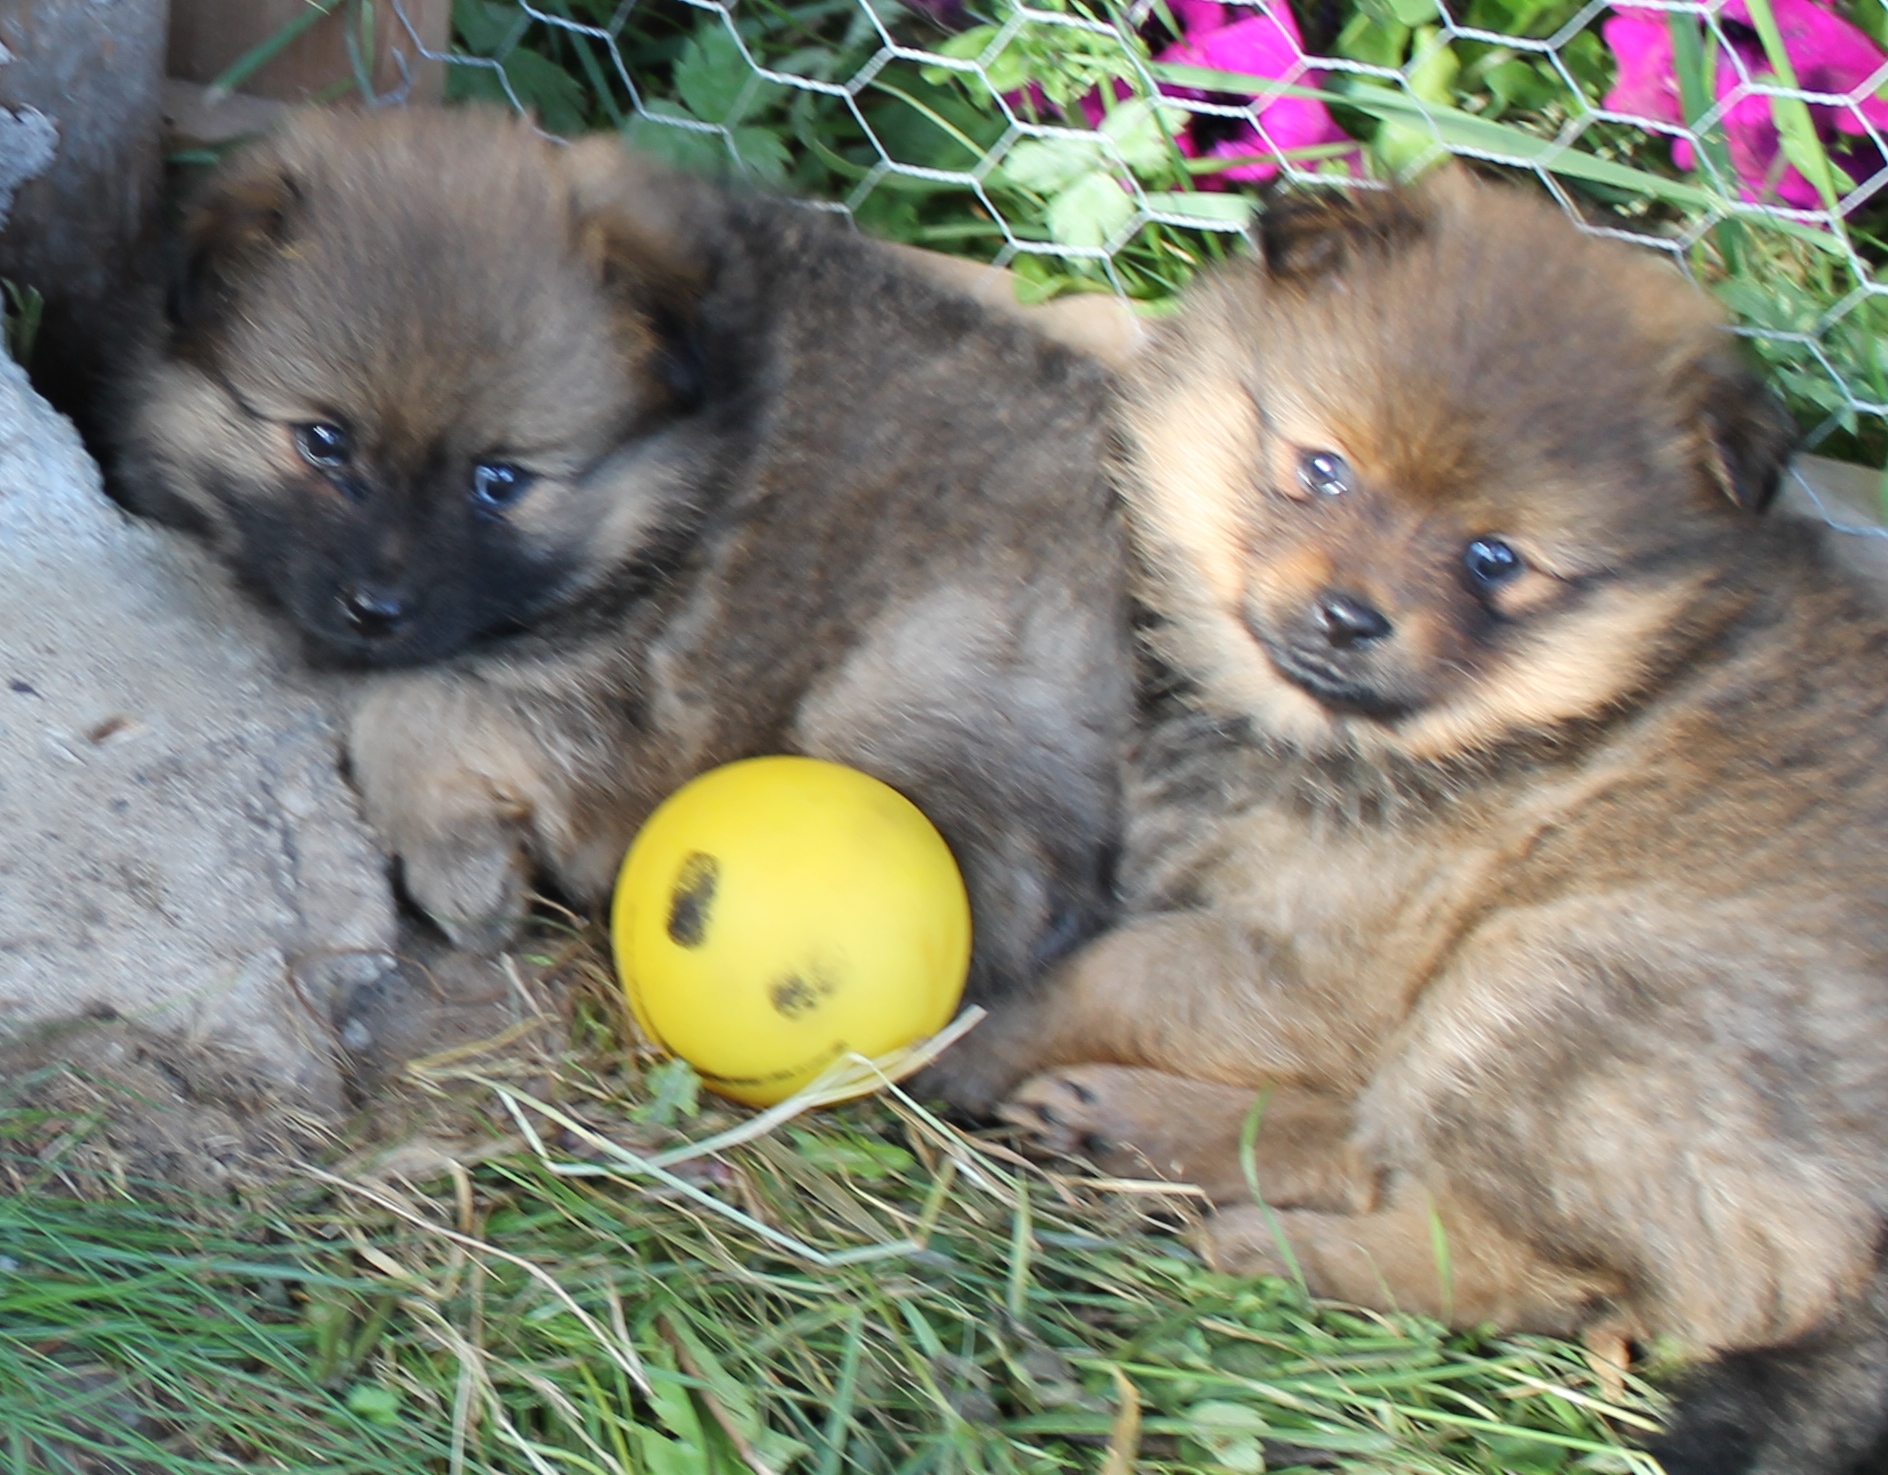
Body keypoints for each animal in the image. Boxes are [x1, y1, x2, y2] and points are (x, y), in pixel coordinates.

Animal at [110, 100, 1125, 1072]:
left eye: (499, 480)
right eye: (323, 441)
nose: (376, 609)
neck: (677, 485)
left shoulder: (617, 716)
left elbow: (409, 703)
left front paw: (461, 871)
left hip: (902, 687)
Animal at [989, 175, 1888, 1473]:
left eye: (1492, 558)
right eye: (1319, 468)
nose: (1349, 615)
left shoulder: (1321, 964)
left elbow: (1113, 968)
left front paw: (971, 1038)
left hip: (1551, 986)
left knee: (1526, 1264)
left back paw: (1259, 1233)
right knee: (1378, 1147)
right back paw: (1130, 1127)